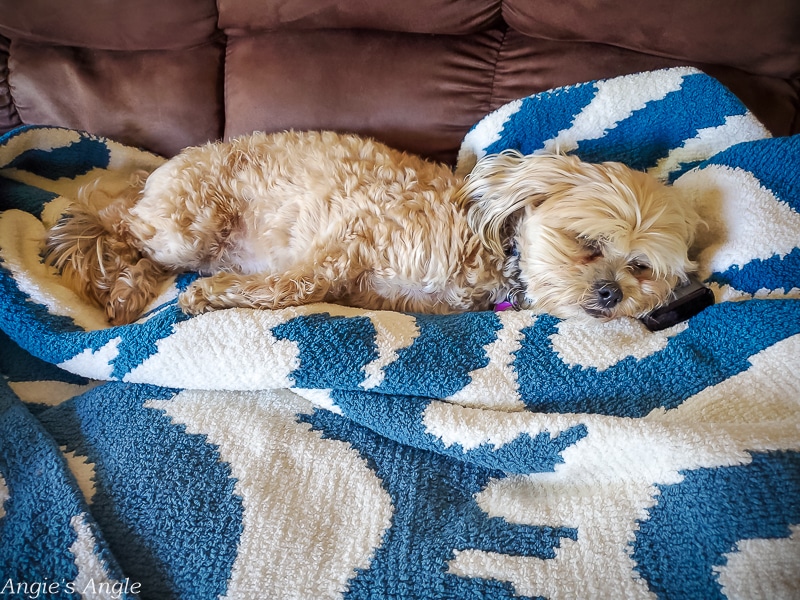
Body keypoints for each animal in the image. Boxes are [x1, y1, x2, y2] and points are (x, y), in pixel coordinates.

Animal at [43, 131, 696, 326]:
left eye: (640, 267)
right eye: (587, 245)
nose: (612, 294)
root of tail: (158, 171)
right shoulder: (347, 238)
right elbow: (291, 286)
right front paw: (213, 296)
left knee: (134, 244)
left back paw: (125, 289)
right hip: (190, 223)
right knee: (109, 220)